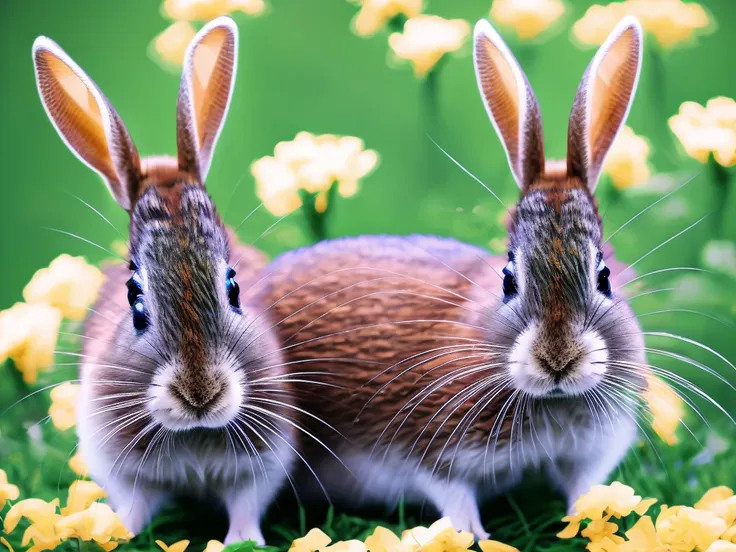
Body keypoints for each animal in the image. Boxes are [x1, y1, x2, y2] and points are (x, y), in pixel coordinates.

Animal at [33, 17, 294, 544]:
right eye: (135, 298)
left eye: (234, 287)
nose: (200, 396)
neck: (193, 432)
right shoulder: (118, 466)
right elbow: (133, 506)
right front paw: (112, 534)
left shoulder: (264, 463)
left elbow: (246, 505)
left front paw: (242, 542)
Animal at [256, 16, 648, 540]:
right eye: (508, 280)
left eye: (603, 275)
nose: (558, 361)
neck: (552, 400)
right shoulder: (432, 450)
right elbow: (453, 497)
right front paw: (476, 537)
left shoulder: (589, 456)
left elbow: (584, 490)